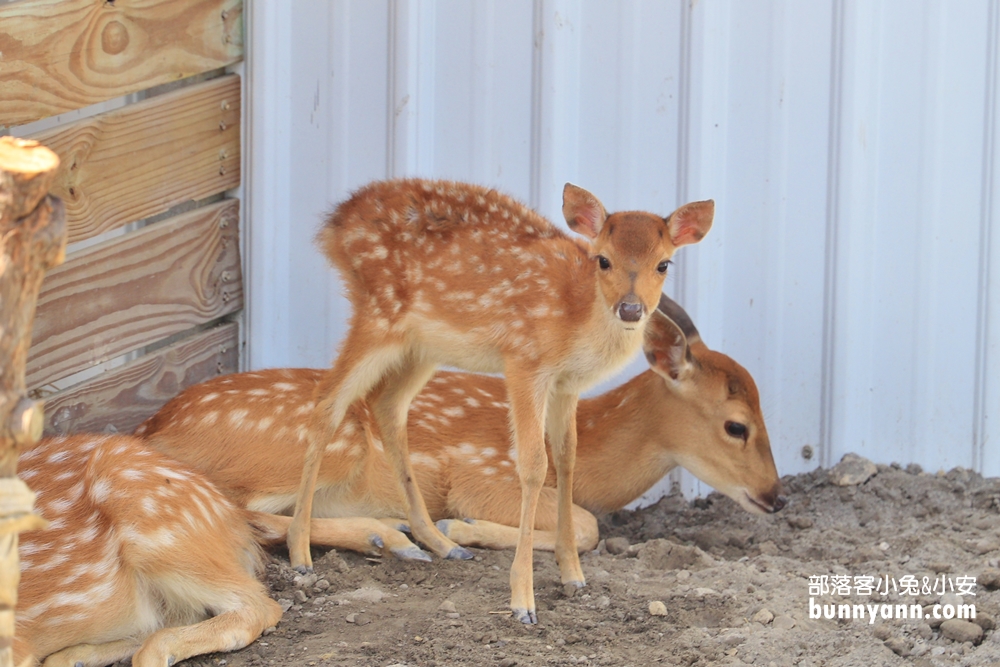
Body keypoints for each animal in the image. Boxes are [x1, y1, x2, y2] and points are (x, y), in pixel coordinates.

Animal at [141, 296, 784, 568]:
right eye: (736, 425)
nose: (777, 496)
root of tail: (151, 430)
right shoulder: (483, 471)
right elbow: (585, 525)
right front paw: (462, 528)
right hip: (315, 448)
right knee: (245, 513)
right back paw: (393, 536)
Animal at [288, 180, 712, 624]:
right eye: (603, 260)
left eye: (663, 264)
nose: (631, 309)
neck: (576, 315)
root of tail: (337, 221)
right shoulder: (525, 362)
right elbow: (533, 465)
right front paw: (523, 600)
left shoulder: (567, 385)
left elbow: (567, 459)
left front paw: (573, 576)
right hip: (378, 311)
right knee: (327, 403)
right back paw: (301, 556)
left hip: (422, 342)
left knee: (387, 404)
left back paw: (442, 545)